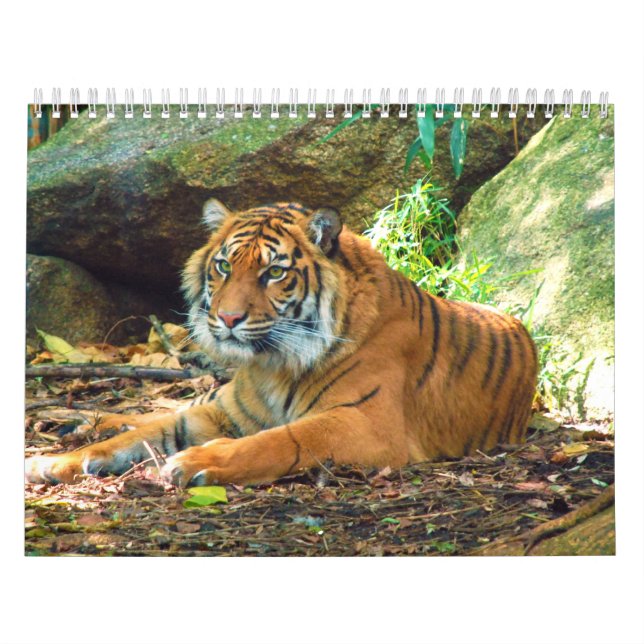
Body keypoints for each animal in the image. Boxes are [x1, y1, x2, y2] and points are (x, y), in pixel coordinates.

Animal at [25, 199, 538, 487]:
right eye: (224, 266)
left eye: (274, 272)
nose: (228, 318)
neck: (273, 363)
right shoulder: (224, 412)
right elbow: (141, 434)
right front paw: (53, 462)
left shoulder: (367, 424)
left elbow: (279, 439)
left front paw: (195, 462)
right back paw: (81, 423)